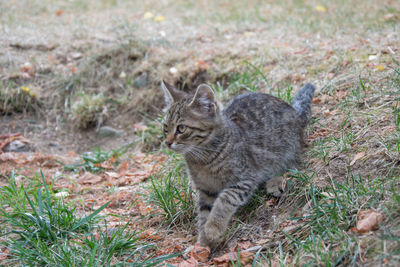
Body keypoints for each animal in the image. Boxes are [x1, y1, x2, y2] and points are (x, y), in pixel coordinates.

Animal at [161, 80, 314, 250]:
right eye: (165, 128)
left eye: (181, 128)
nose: (167, 142)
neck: (202, 159)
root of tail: (295, 113)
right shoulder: (205, 190)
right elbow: (203, 214)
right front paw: (203, 243)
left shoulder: (244, 179)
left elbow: (224, 200)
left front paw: (213, 228)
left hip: (286, 150)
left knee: (291, 167)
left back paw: (275, 182)